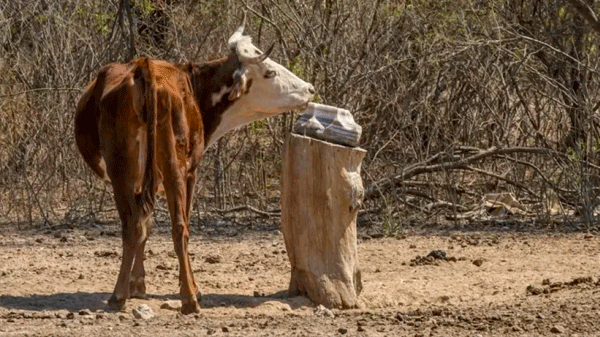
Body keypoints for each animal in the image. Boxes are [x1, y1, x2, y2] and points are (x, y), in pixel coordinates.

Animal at [74, 19, 314, 312]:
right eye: (270, 72)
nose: (309, 89)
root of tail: (145, 68)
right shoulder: (191, 172)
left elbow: (145, 226)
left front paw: (137, 285)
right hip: (172, 168)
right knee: (179, 227)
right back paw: (188, 298)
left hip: (124, 173)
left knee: (133, 226)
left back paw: (119, 295)